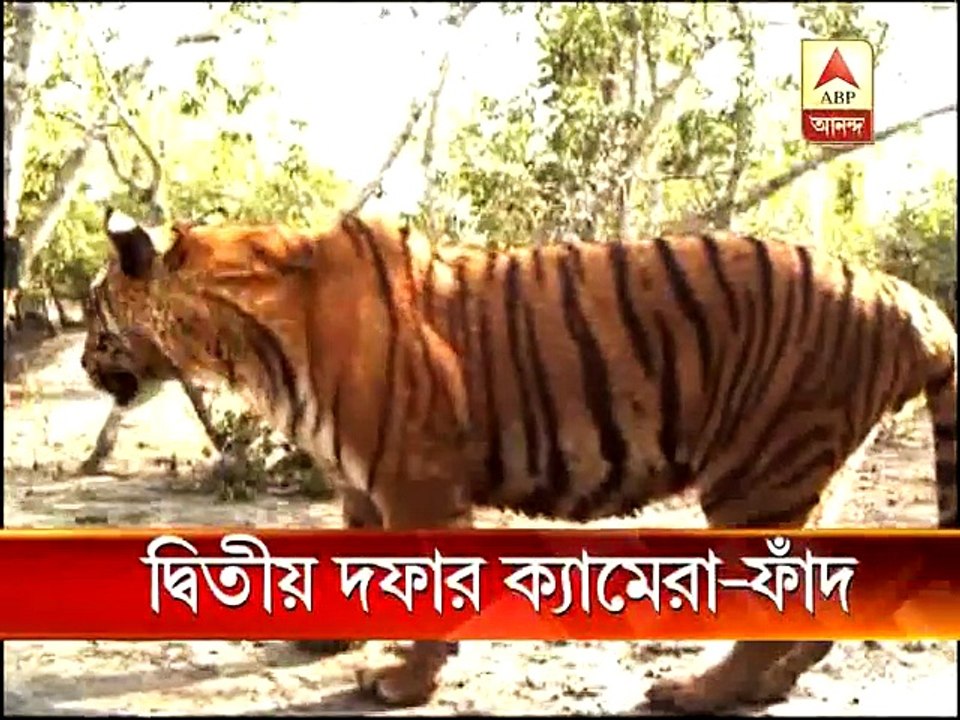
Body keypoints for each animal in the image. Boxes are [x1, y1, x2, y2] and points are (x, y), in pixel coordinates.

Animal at [80, 206, 957, 713]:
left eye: (93, 314)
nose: (85, 364)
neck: (238, 338)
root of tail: (907, 296)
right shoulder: (360, 480)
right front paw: (326, 637)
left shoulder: (415, 477)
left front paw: (402, 684)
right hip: (810, 476)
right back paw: (767, 686)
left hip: (758, 478)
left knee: (774, 612)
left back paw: (698, 692)